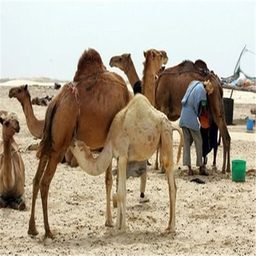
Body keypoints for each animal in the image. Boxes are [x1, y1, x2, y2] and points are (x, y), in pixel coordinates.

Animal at [27, 48, 132, 238]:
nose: (113, 60)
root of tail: (54, 103)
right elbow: (116, 180)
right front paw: (116, 223)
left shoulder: (109, 142)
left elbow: (108, 180)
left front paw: (109, 221)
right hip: (59, 144)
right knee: (45, 182)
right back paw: (48, 231)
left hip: (49, 143)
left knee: (36, 179)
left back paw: (33, 228)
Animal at [70, 94, 182, 232]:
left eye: (76, 145)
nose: (72, 140)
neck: (110, 142)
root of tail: (170, 124)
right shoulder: (119, 158)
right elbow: (120, 192)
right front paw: (118, 225)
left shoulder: (123, 156)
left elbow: (120, 193)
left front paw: (121, 227)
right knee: (173, 185)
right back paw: (169, 225)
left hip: (165, 135)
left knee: (171, 182)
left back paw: (171, 227)